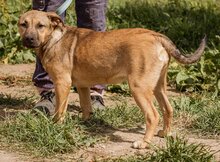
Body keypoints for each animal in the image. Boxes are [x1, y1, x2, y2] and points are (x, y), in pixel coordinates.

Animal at [18, 10, 206, 149]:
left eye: (41, 26)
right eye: (23, 24)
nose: (29, 39)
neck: (53, 39)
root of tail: (156, 36)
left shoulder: (62, 84)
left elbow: (59, 111)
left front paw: (55, 126)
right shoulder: (82, 86)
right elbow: (86, 107)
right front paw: (84, 122)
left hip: (138, 87)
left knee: (153, 115)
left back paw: (144, 143)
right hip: (158, 86)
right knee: (168, 109)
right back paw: (165, 133)